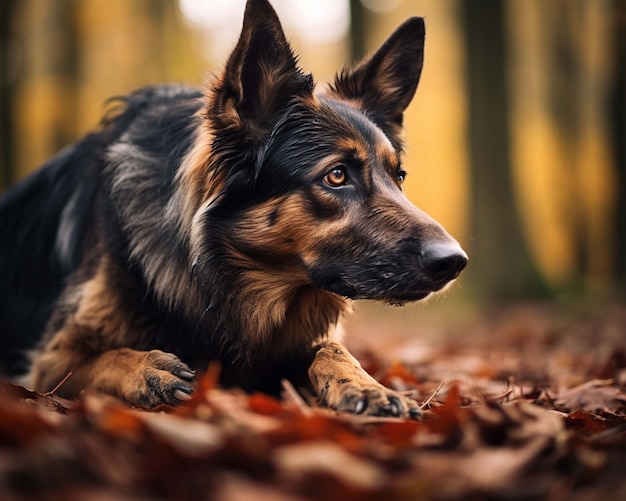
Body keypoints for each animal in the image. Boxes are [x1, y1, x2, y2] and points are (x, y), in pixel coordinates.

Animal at [0, 0, 464, 418]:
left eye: (398, 176)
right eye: (336, 175)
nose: (454, 262)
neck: (216, 276)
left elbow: (332, 348)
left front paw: (367, 385)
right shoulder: (48, 365)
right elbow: (101, 359)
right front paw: (148, 369)